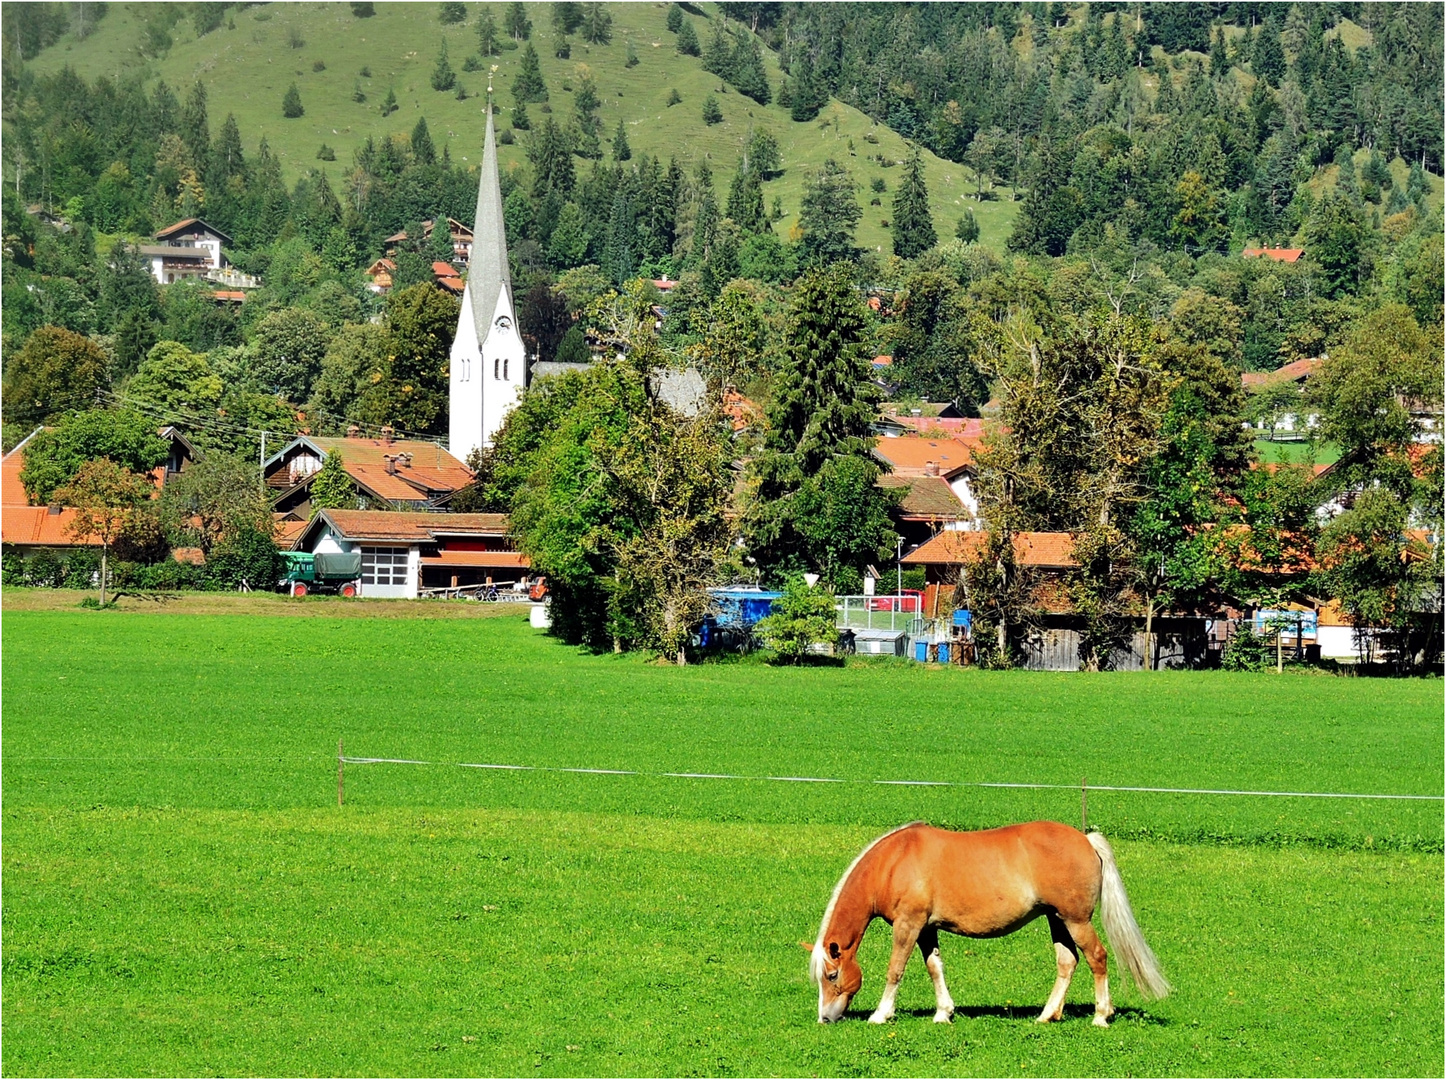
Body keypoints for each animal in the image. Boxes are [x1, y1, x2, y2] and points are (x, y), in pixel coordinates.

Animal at [809, 821, 1168, 1029]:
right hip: (1057, 920)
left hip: (1076, 920)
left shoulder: (908, 925)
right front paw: (943, 1013)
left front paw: (881, 1014)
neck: (894, 862)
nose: (825, 1017)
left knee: (1097, 958)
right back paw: (1047, 1015)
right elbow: (934, 967)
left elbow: (895, 969)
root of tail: (1085, 839)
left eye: (832, 975)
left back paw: (1100, 1016)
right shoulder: (926, 928)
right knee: (1068, 961)